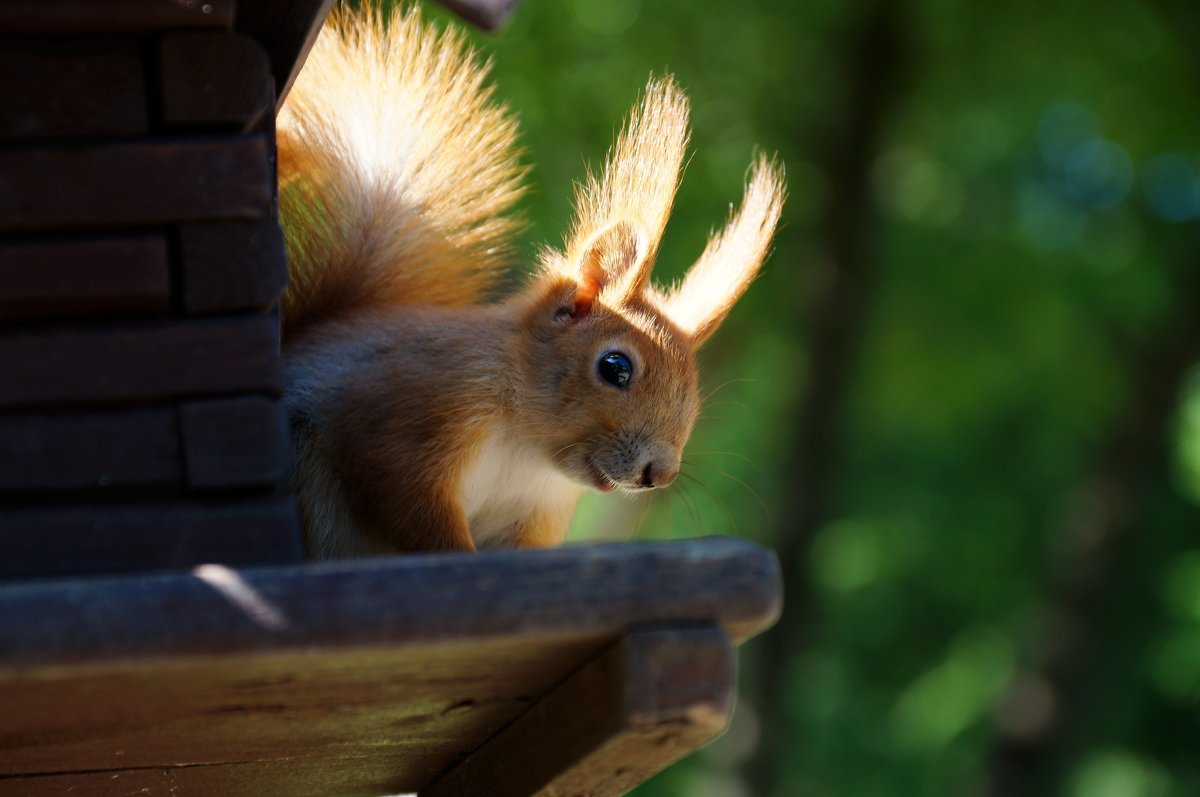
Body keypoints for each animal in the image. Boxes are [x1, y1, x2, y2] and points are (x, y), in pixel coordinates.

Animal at [278, 6, 787, 556]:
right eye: (615, 367)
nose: (660, 472)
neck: (527, 445)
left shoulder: (535, 510)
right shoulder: (406, 419)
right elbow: (401, 499)